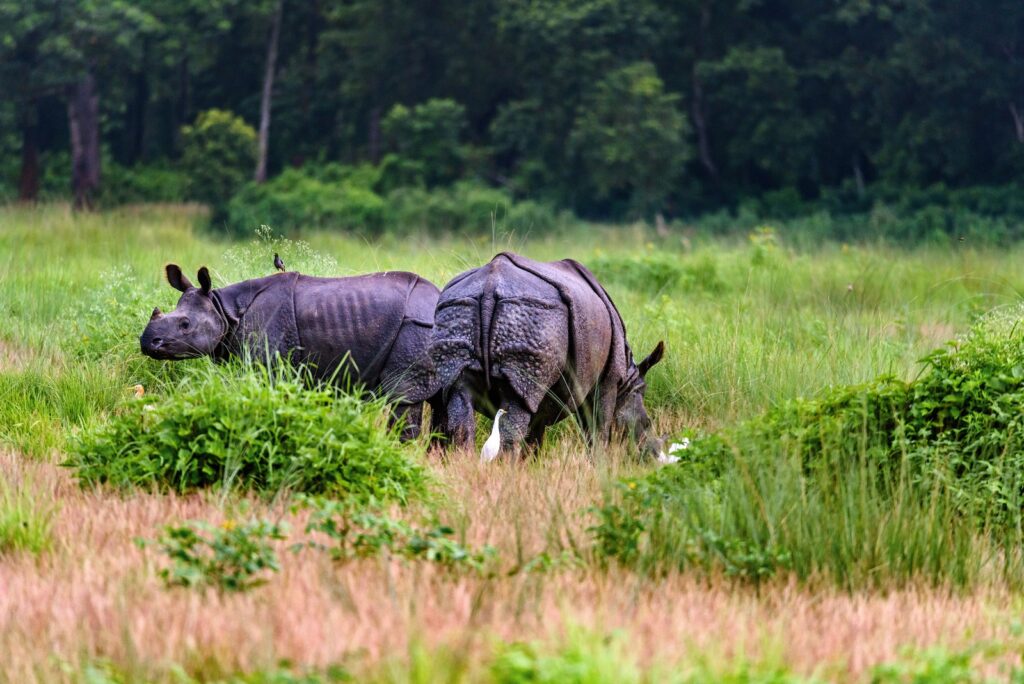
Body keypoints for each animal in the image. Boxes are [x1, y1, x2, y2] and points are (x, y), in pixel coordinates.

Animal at [139, 263, 440, 439]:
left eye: (185, 324)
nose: (147, 342)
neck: (223, 308)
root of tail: (437, 294)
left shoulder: (272, 366)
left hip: (417, 326)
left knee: (404, 396)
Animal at [429, 252, 665, 458]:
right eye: (647, 423)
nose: (652, 455)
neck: (627, 382)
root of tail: (489, 287)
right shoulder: (607, 381)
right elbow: (599, 430)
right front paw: (601, 466)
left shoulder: (543, 393)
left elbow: (535, 435)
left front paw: (529, 466)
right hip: (532, 314)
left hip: (460, 310)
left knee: (459, 396)